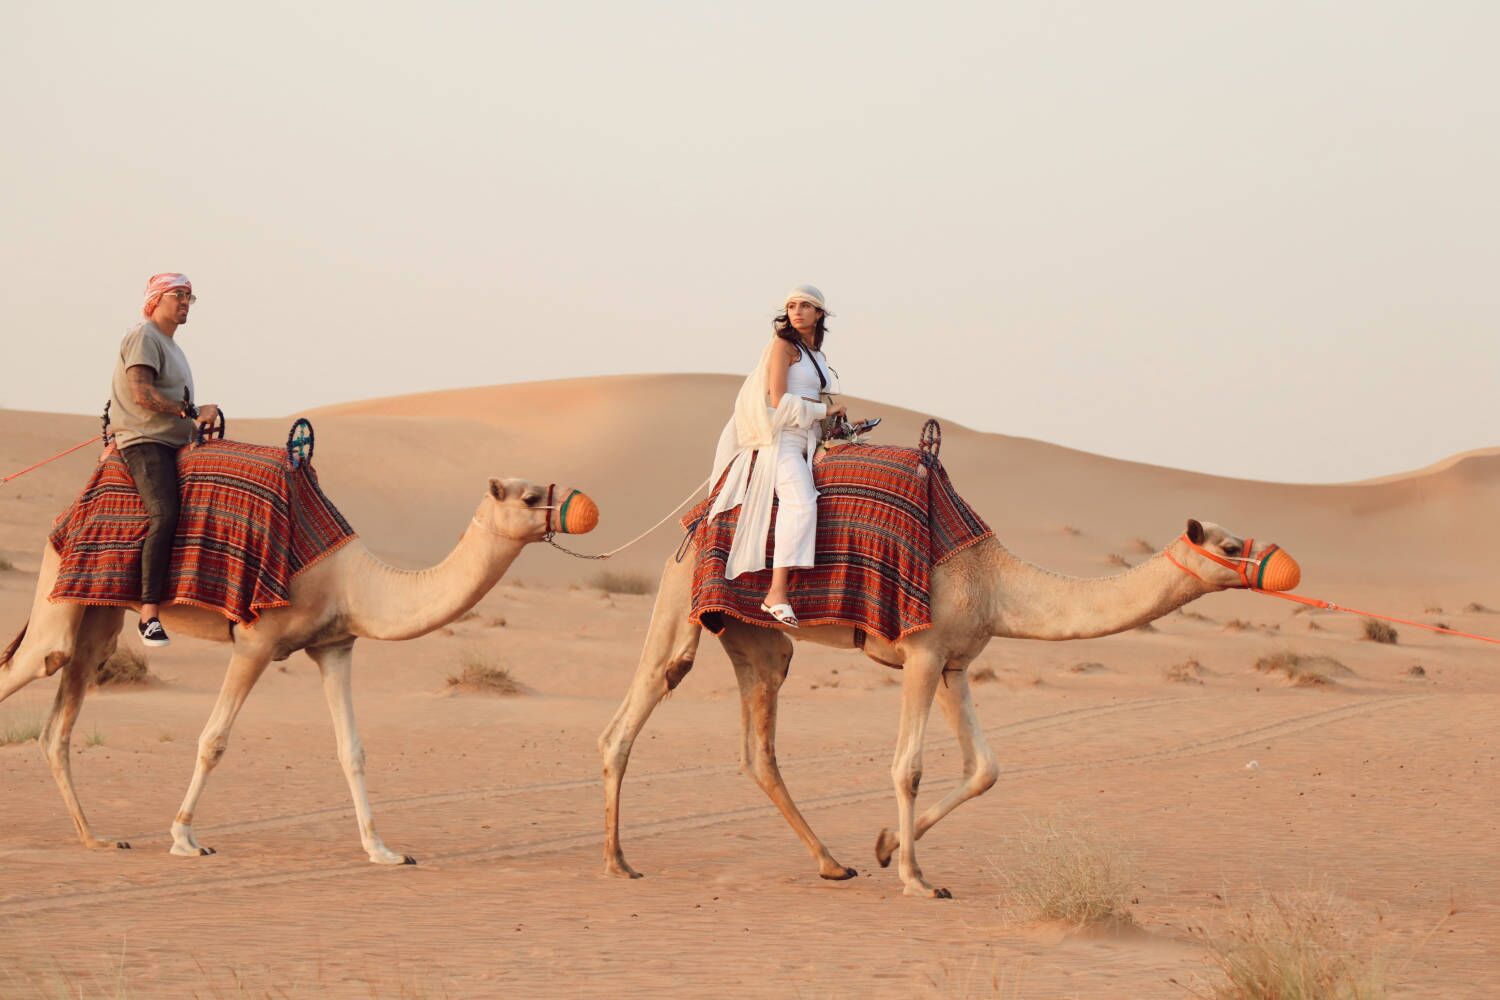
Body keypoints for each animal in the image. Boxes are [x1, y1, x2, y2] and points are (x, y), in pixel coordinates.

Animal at [1, 476, 596, 865]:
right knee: (37, 661)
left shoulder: (335, 646)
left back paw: (96, 839)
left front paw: (383, 849)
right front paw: (184, 839)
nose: (585, 508)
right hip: (59, 597)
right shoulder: (256, 641)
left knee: (58, 722)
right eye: (529, 497)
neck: (351, 579)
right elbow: (213, 740)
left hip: (98, 614)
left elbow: (352, 750)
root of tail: (66, 516)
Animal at [599, 517, 1297, 898]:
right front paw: (917, 879)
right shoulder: (923, 652)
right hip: (679, 603)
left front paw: (885, 846)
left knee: (758, 750)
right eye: (1229, 546)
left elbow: (985, 768)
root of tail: (693, 528)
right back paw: (618, 862)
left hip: (756, 637)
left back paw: (834, 864)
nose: (1276, 564)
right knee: (630, 718)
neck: (996, 581)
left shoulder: (955, 663)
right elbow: (907, 767)